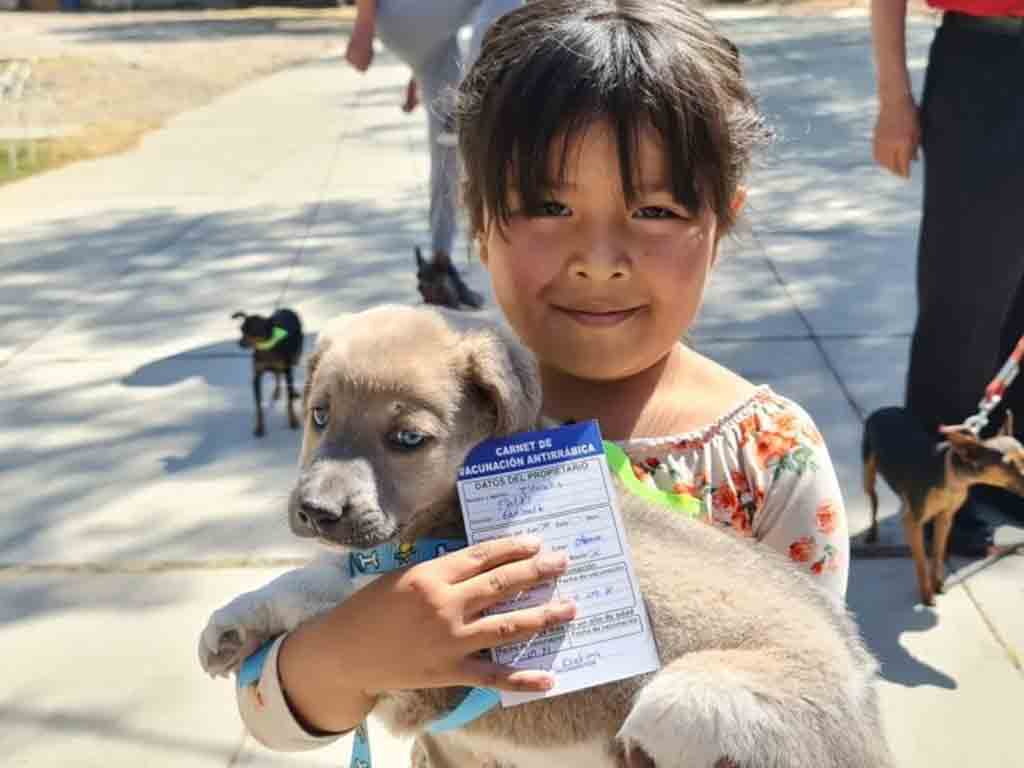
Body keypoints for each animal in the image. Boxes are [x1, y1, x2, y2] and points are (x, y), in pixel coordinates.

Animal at [864, 409, 1024, 606]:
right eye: (1009, 466)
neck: (952, 479)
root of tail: (880, 410)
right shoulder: (913, 522)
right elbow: (921, 562)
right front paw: (926, 595)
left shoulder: (945, 518)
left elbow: (938, 553)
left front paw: (938, 584)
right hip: (868, 474)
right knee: (874, 500)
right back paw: (872, 533)